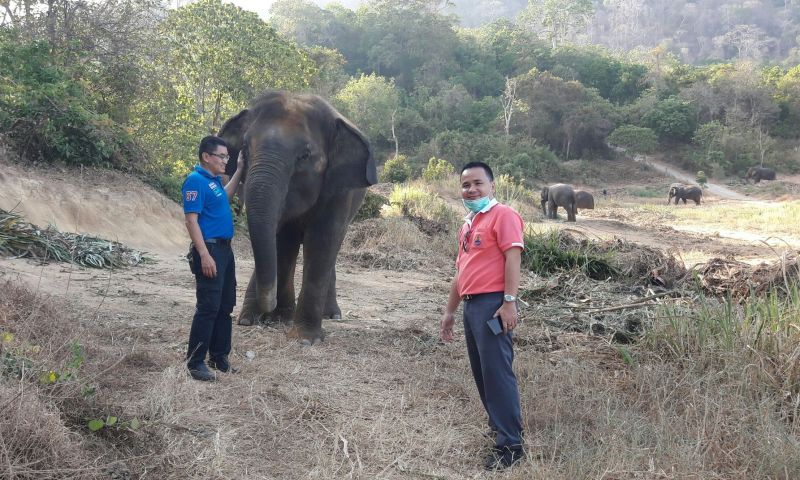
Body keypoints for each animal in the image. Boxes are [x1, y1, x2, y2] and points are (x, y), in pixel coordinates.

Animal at [217, 91, 376, 344]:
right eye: (245, 148)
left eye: (304, 155)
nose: (267, 310)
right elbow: (280, 239)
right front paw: (274, 319)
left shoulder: (339, 190)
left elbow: (322, 240)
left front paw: (305, 339)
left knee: (332, 251)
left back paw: (332, 315)